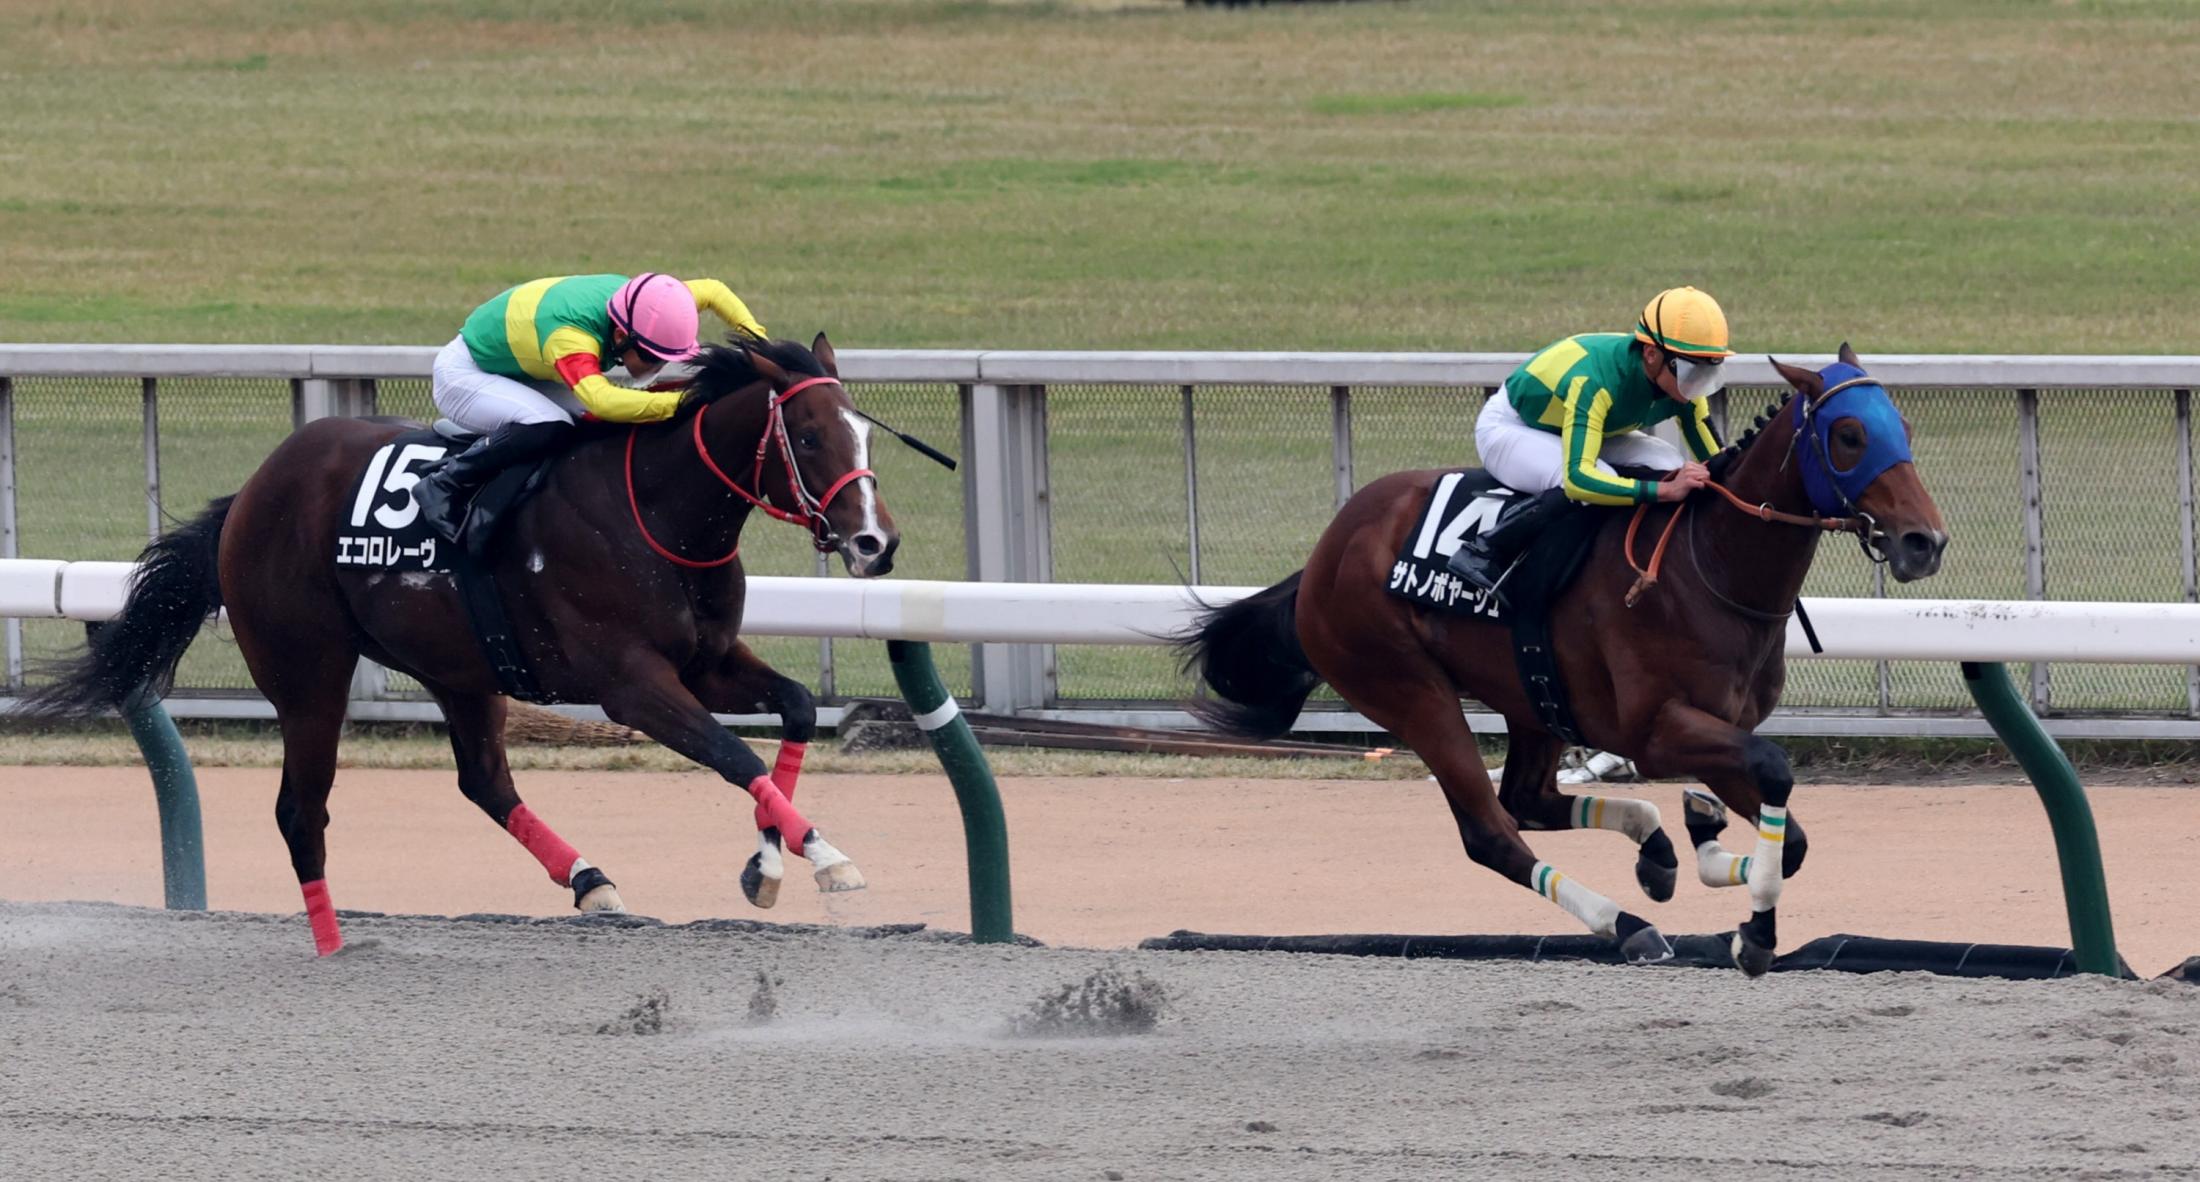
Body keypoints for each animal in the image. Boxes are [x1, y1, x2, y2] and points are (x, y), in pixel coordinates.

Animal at [23, 334, 896, 955]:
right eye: (809, 437)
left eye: (864, 433)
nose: (875, 544)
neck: (656, 509)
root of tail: (252, 492)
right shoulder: (631, 685)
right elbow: (733, 753)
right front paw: (824, 859)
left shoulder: (707, 663)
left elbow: (791, 713)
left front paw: (774, 861)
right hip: (308, 674)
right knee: (302, 811)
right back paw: (336, 944)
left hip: (461, 668)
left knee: (483, 780)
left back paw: (591, 883)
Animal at [1177, 345, 1949, 973]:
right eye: (1849, 436)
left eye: (1904, 430)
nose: (1925, 542)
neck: (1711, 565)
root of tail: (1322, 555)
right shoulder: (1658, 730)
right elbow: (1776, 774)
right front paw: (1753, 935)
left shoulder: (1721, 726)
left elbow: (1788, 837)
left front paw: (1707, 853)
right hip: (1408, 689)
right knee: (1491, 831)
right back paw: (1630, 925)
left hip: (1532, 696)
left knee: (1528, 799)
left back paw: (1654, 853)